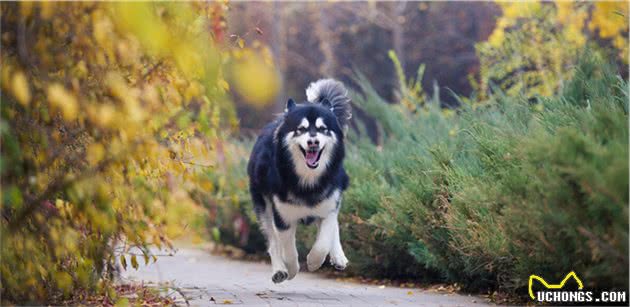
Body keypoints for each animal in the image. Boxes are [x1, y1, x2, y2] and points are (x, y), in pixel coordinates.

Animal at [248, 79, 356, 284]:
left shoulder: (328, 206)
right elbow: (288, 250)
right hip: (263, 204)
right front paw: (291, 270)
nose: (313, 142)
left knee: (334, 225)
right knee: (272, 241)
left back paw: (338, 256)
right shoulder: (283, 218)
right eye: (301, 129)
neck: (308, 181)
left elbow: (325, 239)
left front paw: (314, 261)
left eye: (322, 129)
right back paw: (279, 270)